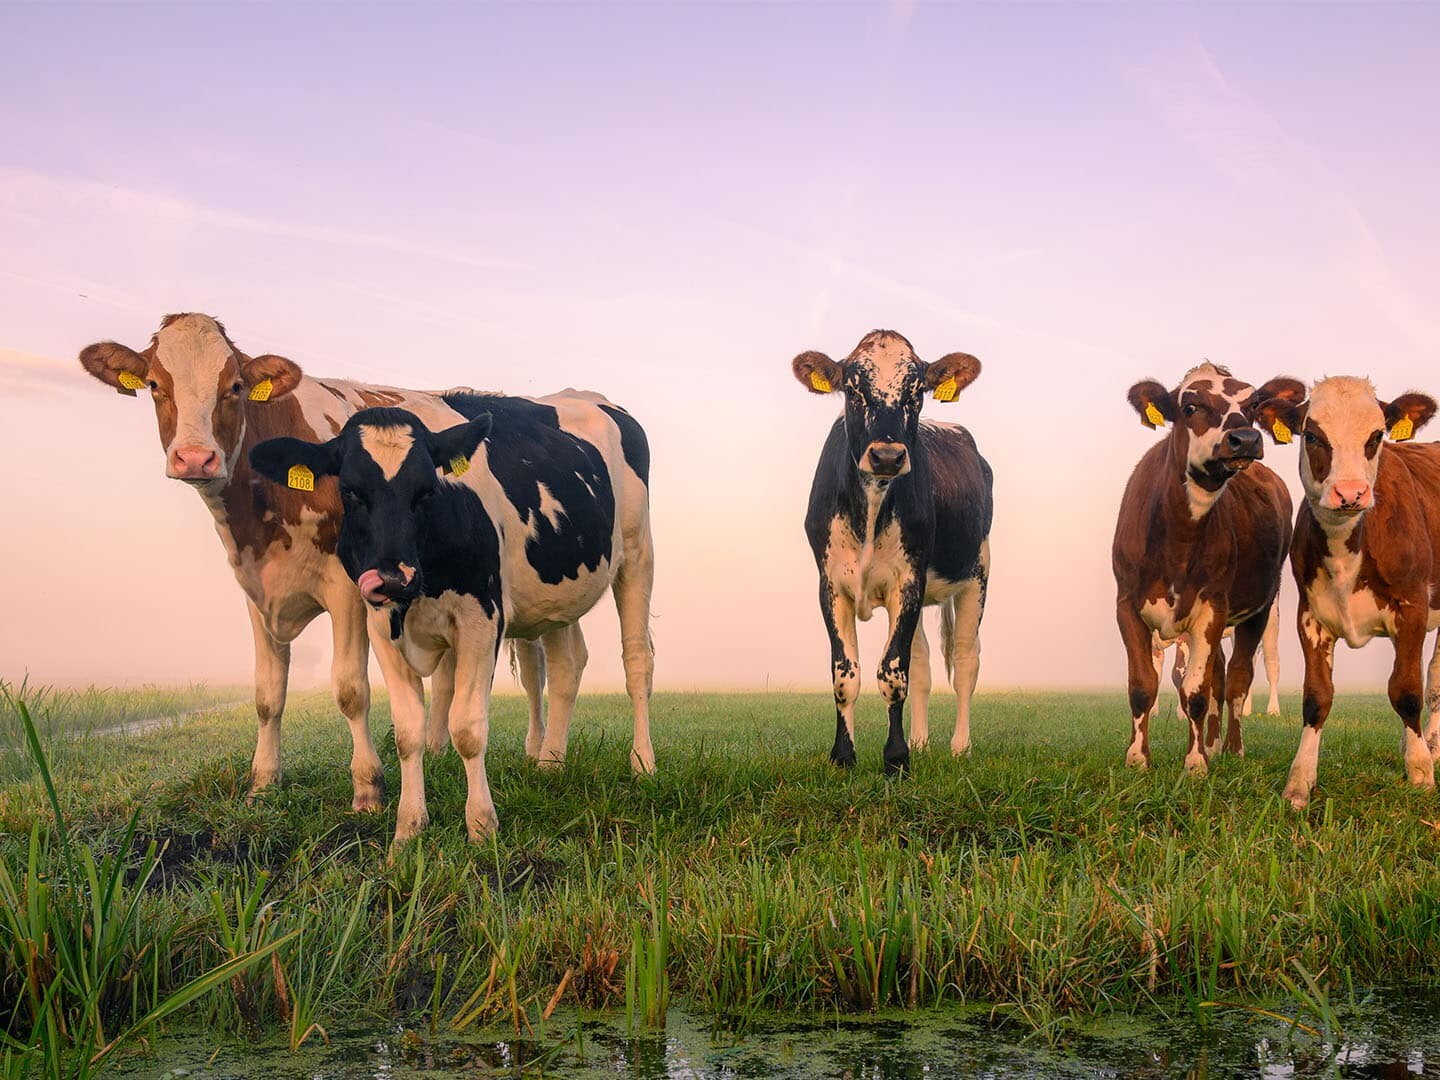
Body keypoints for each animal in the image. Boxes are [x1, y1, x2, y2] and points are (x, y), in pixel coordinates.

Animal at [250, 398, 654, 843]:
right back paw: (550, 765)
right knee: (567, 665)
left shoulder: (482, 619)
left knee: (637, 661)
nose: (393, 578)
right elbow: (408, 732)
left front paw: (481, 824)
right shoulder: (380, 627)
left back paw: (643, 764)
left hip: (637, 553)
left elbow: (468, 727)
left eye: (427, 489)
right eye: (350, 491)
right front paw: (409, 827)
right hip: (559, 596)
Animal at [792, 330, 993, 777]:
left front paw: (896, 759)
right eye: (853, 389)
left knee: (966, 661)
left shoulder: (909, 581)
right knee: (922, 663)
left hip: (977, 572)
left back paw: (961, 747)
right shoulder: (830, 585)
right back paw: (921, 742)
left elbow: (892, 673)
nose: (887, 456)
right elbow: (846, 675)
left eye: (916, 391)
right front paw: (844, 757)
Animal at [1114, 363, 1306, 774]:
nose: (1245, 439)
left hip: (1260, 612)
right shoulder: (1127, 606)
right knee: (1219, 673)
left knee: (1237, 678)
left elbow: (1197, 692)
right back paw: (1215, 744)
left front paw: (1196, 763)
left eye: (1252, 406)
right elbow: (1143, 685)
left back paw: (1231, 747)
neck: (1178, 536)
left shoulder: (1211, 608)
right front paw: (1138, 758)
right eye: (1190, 406)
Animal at [1247, 376, 1440, 809]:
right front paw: (1299, 782)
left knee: (1433, 681)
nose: (1350, 493)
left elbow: (1406, 691)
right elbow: (1316, 698)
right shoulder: (1310, 617)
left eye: (1377, 435)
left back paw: (1430, 747)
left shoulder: (1413, 608)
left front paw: (1421, 774)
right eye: (1313, 436)